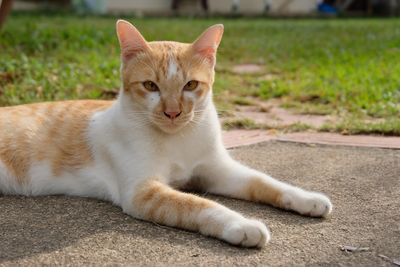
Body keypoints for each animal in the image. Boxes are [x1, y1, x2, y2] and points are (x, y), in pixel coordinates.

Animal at [0, 19, 332, 248]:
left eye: (191, 85)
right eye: (150, 86)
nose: (173, 112)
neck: (178, 140)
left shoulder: (218, 171)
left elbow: (265, 181)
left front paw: (307, 198)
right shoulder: (144, 192)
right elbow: (199, 205)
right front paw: (241, 225)